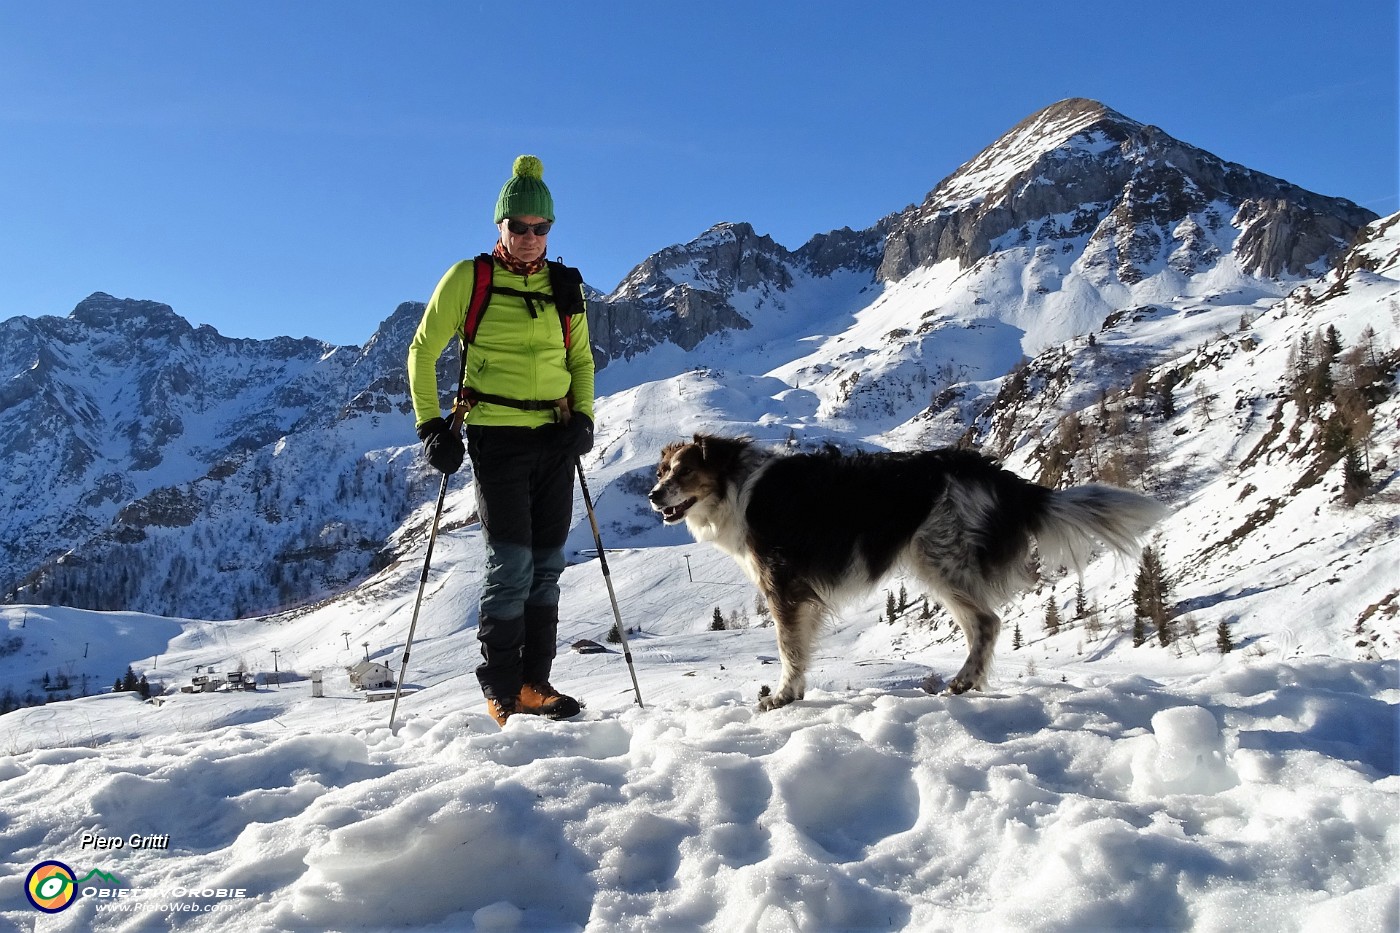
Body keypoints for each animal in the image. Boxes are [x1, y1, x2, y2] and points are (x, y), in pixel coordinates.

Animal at [649, 431, 1164, 708]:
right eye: (661, 472)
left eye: (684, 471)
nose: (653, 496)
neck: (738, 487)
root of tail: (995, 474)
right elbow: (801, 647)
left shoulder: (784, 585)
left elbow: (789, 649)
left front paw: (782, 695)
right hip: (939, 563)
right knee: (983, 623)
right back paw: (968, 681)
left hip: (940, 558)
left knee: (987, 621)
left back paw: (964, 680)